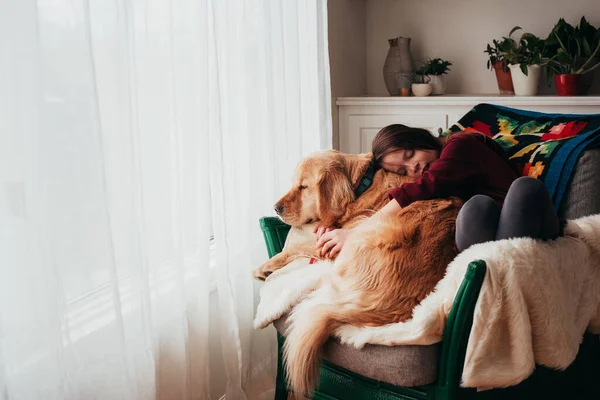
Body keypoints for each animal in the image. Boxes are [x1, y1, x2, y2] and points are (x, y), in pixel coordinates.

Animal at [251, 149, 462, 394]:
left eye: (304, 186)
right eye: (294, 184)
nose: (276, 208)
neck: (361, 185)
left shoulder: (330, 240)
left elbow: (297, 248)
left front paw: (264, 267)